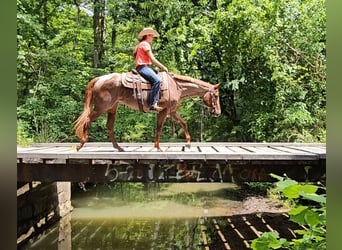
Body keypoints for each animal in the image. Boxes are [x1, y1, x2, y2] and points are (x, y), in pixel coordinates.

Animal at [73, 71, 220, 152]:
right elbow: (159, 127)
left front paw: (188, 144)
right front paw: (158, 147)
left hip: (112, 109)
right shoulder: (164, 111)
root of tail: (99, 79)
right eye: (217, 96)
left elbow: (184, 123)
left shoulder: (172, 112)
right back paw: (81, 144)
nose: (218, 112)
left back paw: (119, 148)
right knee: (87, 120)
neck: (177, 86)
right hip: (100, 108)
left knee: (109, 126)